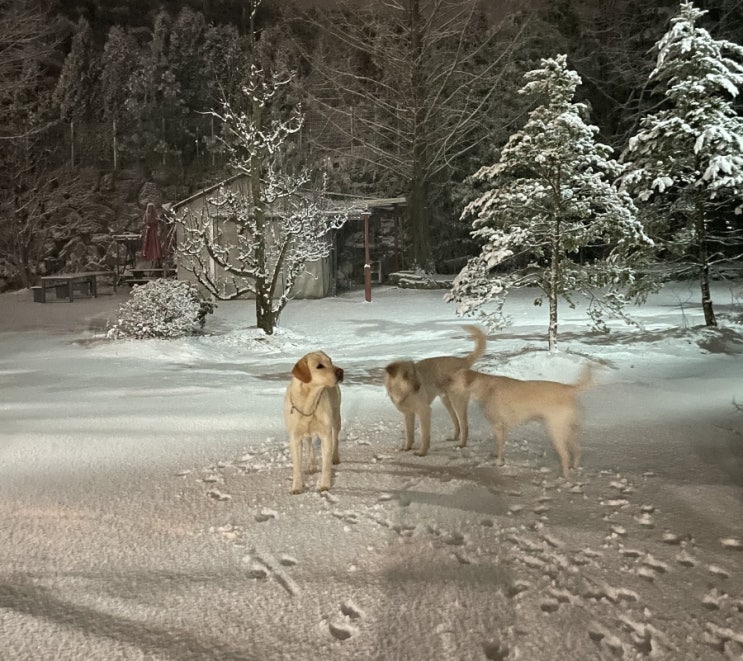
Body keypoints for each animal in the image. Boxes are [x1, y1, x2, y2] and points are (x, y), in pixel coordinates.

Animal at [284, 354, 344, 492]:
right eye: (319, 366)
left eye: (330, 361)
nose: (341, 371)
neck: (309, 403)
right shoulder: (295, 437)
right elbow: (297, 467)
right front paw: (297, 487)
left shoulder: (326, 435)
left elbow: (325, 464)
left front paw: (324, 485)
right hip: (306, 432)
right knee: (309, 443)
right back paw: (311, 465)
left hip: (336, 418)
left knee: (336, 438)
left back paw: (335, 457)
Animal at [384, 324, 488, 454]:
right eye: (405, 375)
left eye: (414, 373)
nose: (418, 387)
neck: (403, 392)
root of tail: (464, 361)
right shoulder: (408, 414)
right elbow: (409, 434)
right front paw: (406, 448)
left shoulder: (424, 411)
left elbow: (424, 435)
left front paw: (422, 452)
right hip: (447, 401)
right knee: (457, 423)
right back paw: (454, 438)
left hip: (457, 401)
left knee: (465, 425)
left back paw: (462, 445)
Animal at [448, 366, 592, 480]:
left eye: (452, 380)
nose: (444, 387)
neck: (485, 387)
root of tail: (569, 388)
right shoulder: (502, 427)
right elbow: (499, 444)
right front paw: (496, 455)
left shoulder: (498, 426)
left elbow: (499, 447)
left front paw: (499, 462)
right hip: (570, 431)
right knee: (577, 450)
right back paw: (573, 467)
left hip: (555, 431)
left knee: (566, 455)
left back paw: (564, 476)